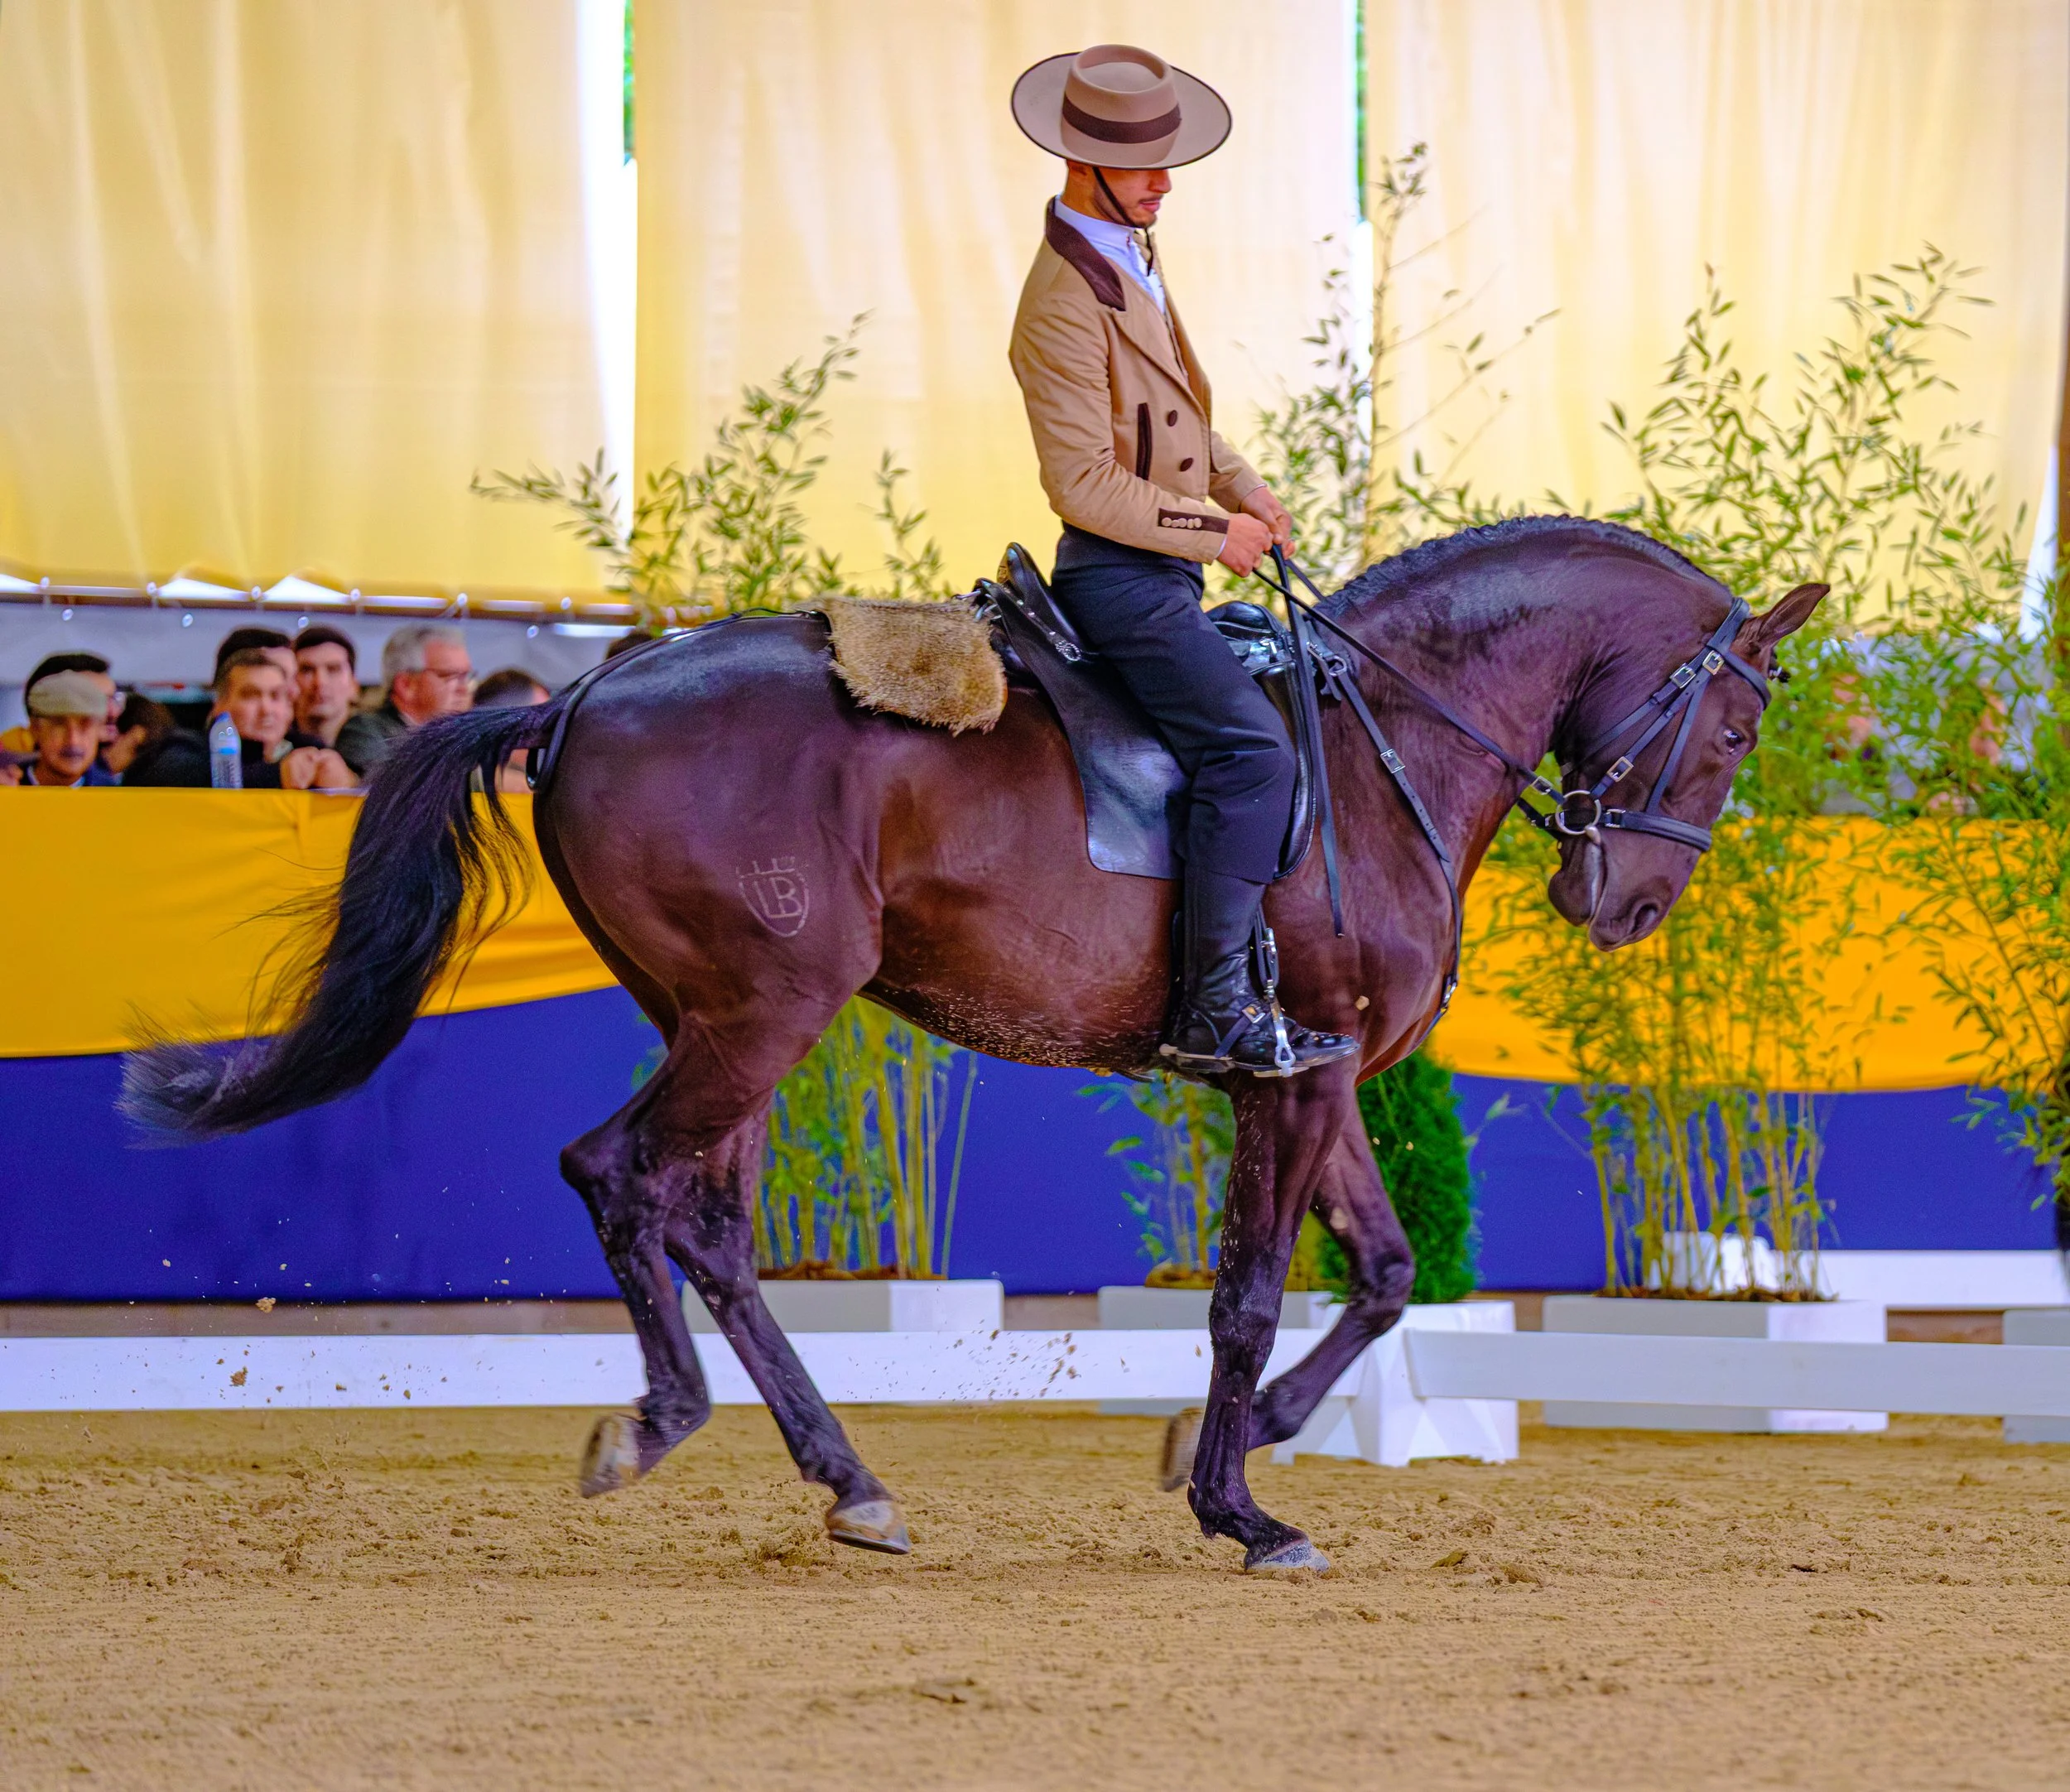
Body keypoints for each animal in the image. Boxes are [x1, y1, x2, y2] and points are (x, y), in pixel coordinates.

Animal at [125, 514, 1826, 1573]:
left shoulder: (1312, 1066)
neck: (1383, 742)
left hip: (719, 1012)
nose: (1626, 906)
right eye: (1741, 729)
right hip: (766, 1008)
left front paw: (1235, 1452)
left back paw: (852, 1486)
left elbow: (1389, 1268)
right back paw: (664, 1427)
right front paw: (1242, 1511)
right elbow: (1248, 1294)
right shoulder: (1295, 1072)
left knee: (708, 1222)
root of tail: (586, 691)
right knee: (619, 1173)